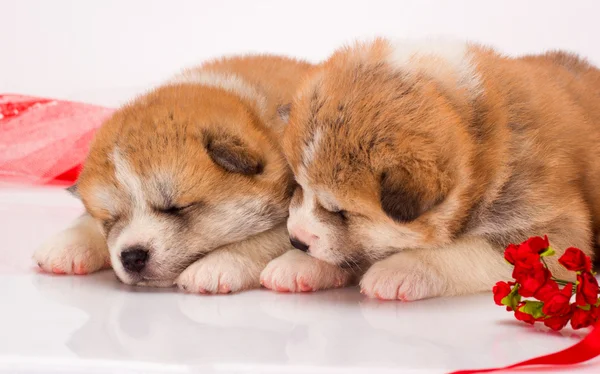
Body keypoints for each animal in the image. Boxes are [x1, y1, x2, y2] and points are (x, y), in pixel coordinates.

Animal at [34, 54, 342, 292]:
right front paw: (68, 243)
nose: (131, 256)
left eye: (177, 208)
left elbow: (267, 239)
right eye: (110, 219)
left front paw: (218, 264)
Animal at [268, 38, 600, 300]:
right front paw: (298, 263)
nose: (295, 240)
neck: (481, 146)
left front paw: (400, 268)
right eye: (298, 185)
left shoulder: (548, 228)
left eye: (342, 212)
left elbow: (463, 251)